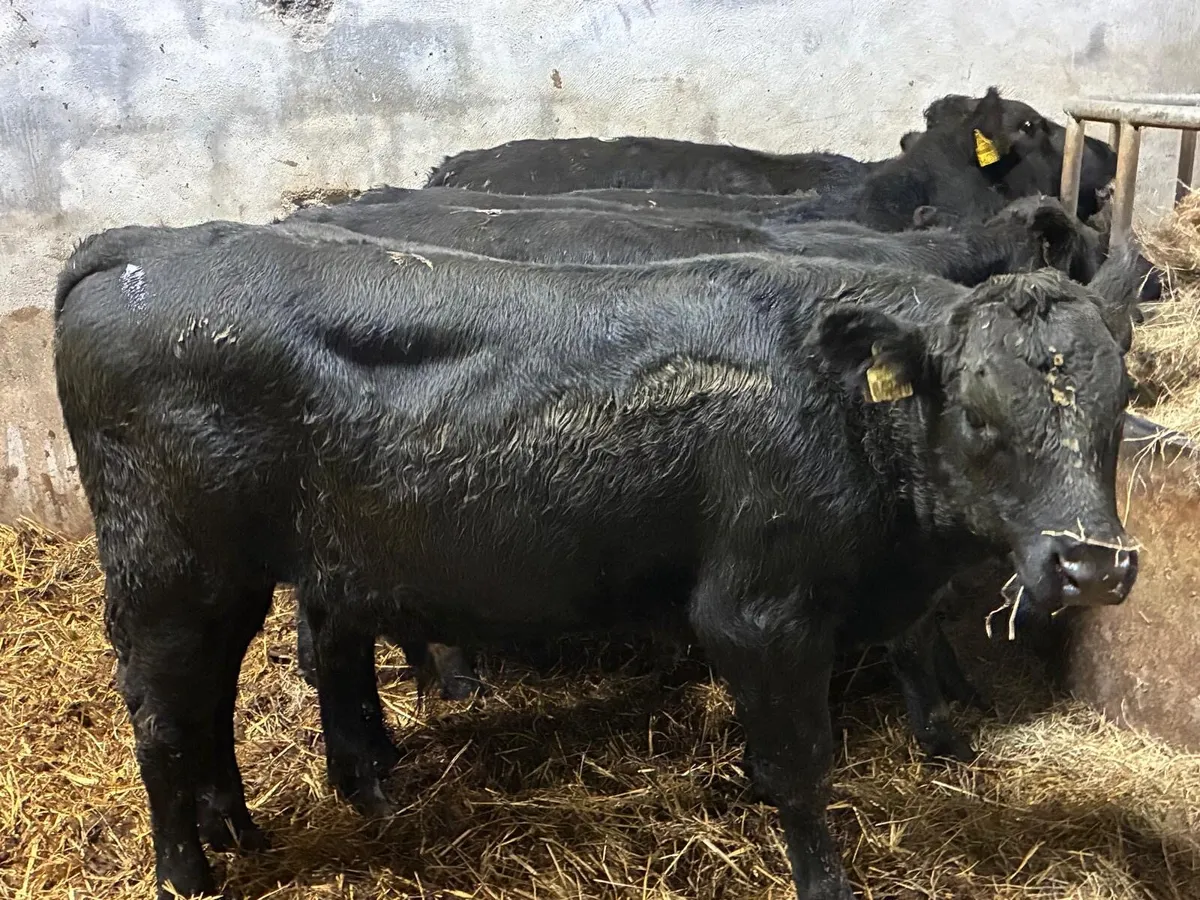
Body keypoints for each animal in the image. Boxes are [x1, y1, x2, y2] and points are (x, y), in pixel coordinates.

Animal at [55, 220, 1140, 900]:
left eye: (1119, 402)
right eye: (979, 415)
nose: (1091, 566)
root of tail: (144, 246)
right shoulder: (758, 611)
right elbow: (801, 765)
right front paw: (824, 878)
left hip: (232, 574)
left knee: (212, 697)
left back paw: (241, 828)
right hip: (165, 570)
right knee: (160, 715)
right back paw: (186, 873)